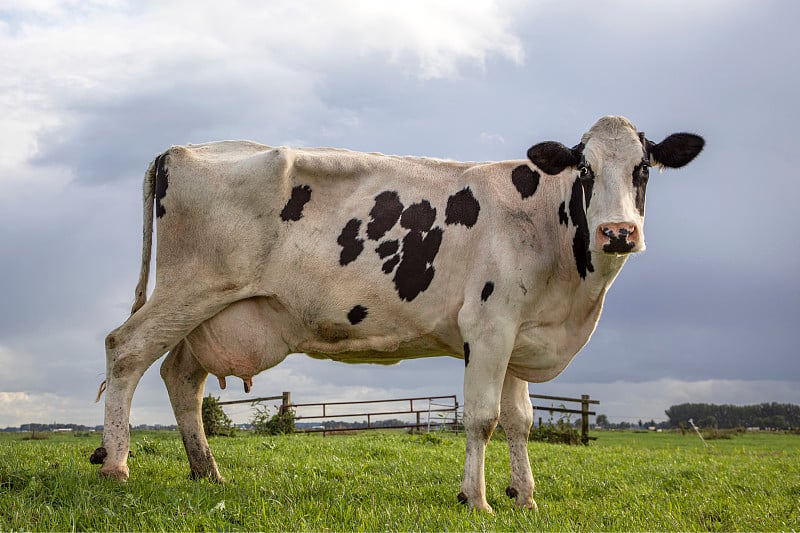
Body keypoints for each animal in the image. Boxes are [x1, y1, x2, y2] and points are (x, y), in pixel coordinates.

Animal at [94, 115, 704, 512]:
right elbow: (481, 418)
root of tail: (181, 149)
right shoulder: (489, 325)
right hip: (189, 290)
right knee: (125, 350)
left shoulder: (517, 333)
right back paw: (118, 467)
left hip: (213, 312)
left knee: (180, 377)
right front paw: (476, 499)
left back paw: (207, 471)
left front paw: (525, 498)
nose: (618, 232)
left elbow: (521, 421)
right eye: (585, 171)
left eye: (643, 169)